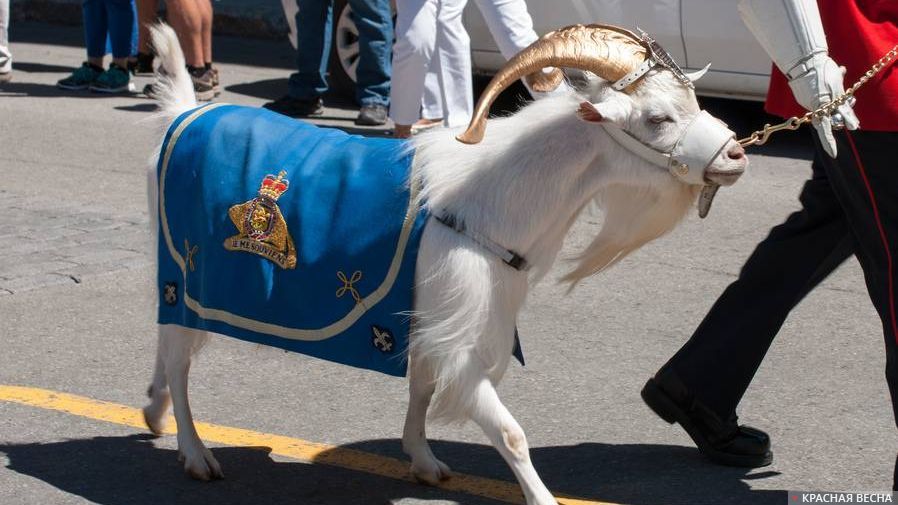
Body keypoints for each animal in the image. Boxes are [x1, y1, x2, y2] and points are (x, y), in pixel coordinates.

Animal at [144, 23, 744, 504]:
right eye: (658, 117)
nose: (737, 155)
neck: (488, 196)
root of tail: (185, 114)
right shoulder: (462, 341)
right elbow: (509, 433)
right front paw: (540, 497)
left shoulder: (432, 319)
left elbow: (423, 389)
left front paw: (424, 460)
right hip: (186, 273)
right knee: (178, 360)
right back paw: (195, 453)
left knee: (167, 346)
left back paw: (153, 410)